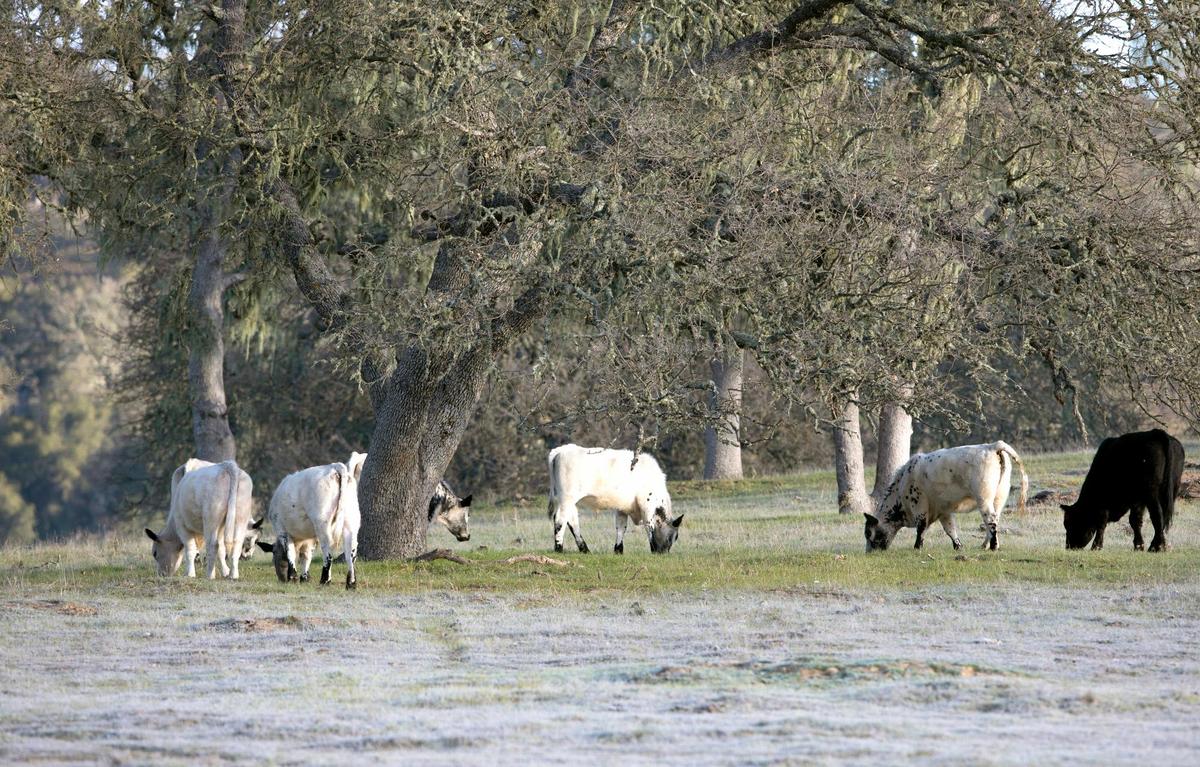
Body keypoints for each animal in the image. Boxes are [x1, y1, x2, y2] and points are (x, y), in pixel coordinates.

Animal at [256, 453, 363, 589]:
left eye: (274, 555)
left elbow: (291, 553)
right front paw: (304, 578)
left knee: (328, 552)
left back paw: (325, 580)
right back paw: (351, 583)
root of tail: (334, 466)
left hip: (323, 523)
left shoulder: (283, 531)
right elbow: (306, 555)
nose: (282, 579)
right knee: (351, 552)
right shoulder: (310, 538)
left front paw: (293, 577)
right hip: (351, 523)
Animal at [547, 444, 684, 554]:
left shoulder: (622, 507)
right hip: (567, 498)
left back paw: (584, 549)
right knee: (560, 519)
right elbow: (649, 526)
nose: (664, 553)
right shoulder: (647, 505)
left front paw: (618, 550)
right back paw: (559, 548)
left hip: (566, 500)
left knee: (572, 521)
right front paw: (653, 549)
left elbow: (621, 527)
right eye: (673, 536)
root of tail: (561, 450)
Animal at [864, 442, 1028, 552]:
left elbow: (921, 527)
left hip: (984, 498)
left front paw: (917, 548)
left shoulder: (919, 504)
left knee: (990, 519)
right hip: (999, 497)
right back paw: (985, 545)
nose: (870, 553)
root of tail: (991, 446)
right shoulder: (944, 510)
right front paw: (958, 547)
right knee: (994, 519)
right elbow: (950, 529)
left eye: (868, 533)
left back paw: (993, 546)